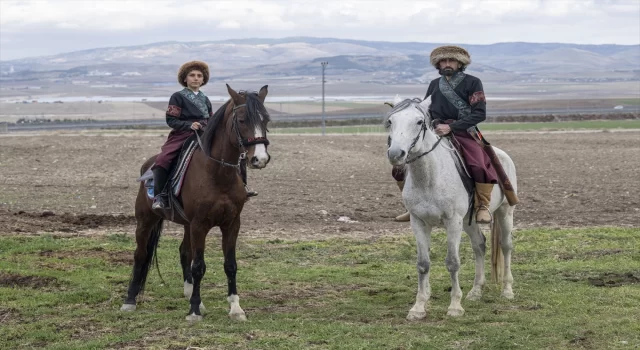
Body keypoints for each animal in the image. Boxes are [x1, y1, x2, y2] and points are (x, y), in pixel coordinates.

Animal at [121, 84, 272, 320]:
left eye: (266, 119)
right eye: (241, 120)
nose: (260, 159)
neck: (218, 173)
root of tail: (148, 165)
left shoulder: (231, 224)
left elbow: (230, 265)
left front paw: (235, 308)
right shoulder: (200, 225)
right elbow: (199, 266)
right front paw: (194, 310)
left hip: (186, 224)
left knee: (184, 252)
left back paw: (191, 294)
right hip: (145, 221)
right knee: (140, 255)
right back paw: (130, 300)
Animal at [382, 95, 516, 320]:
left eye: (419, 121)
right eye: (391, 121)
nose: (396, 154)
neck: (428, 178)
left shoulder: (452, 222)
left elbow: (452, 262)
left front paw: (454, 306)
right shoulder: (418, 222)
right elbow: (423, 264)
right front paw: (419, 307)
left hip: (505, 212)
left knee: (505, 246)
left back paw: (507, 290)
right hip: (469, 221)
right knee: (479, 245)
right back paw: (475, 291)